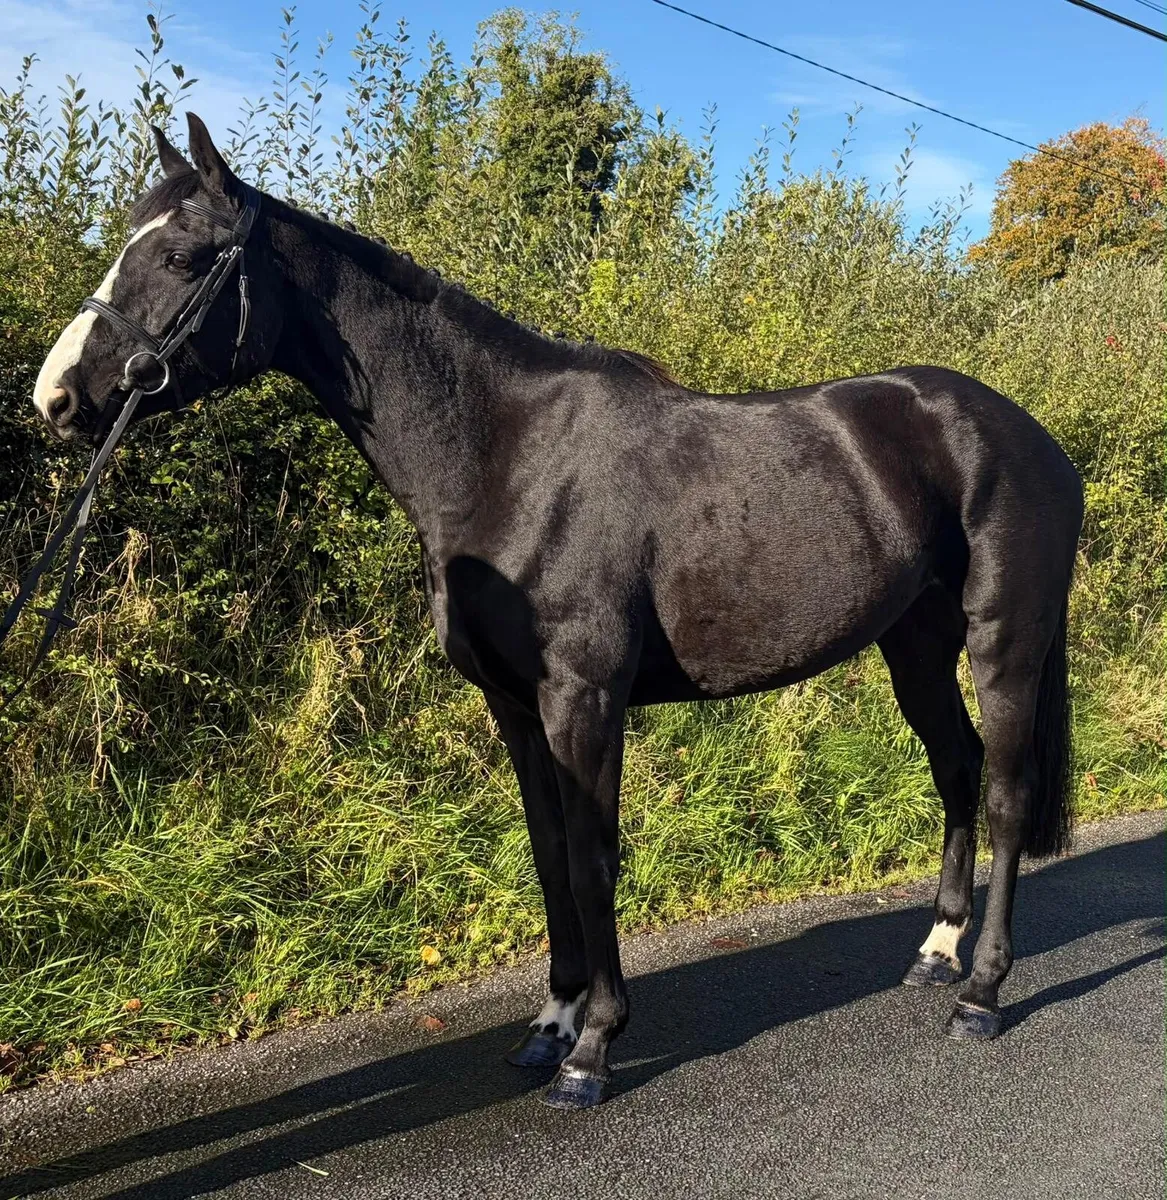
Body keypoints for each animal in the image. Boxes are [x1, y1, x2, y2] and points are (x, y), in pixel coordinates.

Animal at [30, 114, 1084, 1110]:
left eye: (180, 256)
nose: (56, 398)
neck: (506, 455)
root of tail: (1029, 436)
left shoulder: (584, 698)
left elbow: (589, 858)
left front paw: (592, 1049)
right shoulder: (513, 706)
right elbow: (546, 857)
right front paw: (550, 1023)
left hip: (1003, 642)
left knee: (1002, 791)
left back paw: (980, 992)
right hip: (913, 647)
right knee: (955, 770)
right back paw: (935, 952)